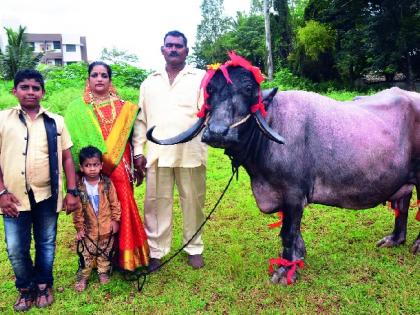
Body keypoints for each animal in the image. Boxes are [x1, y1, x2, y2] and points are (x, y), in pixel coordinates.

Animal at [146, 55, 418, 286]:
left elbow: (288, 233)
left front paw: (285, 271)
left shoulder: (294, 195)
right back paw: (395, 239)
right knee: (402, 205)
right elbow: (292, 234)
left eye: (248, 89)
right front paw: (298, 257)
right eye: (210, 90)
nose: (217, 132)